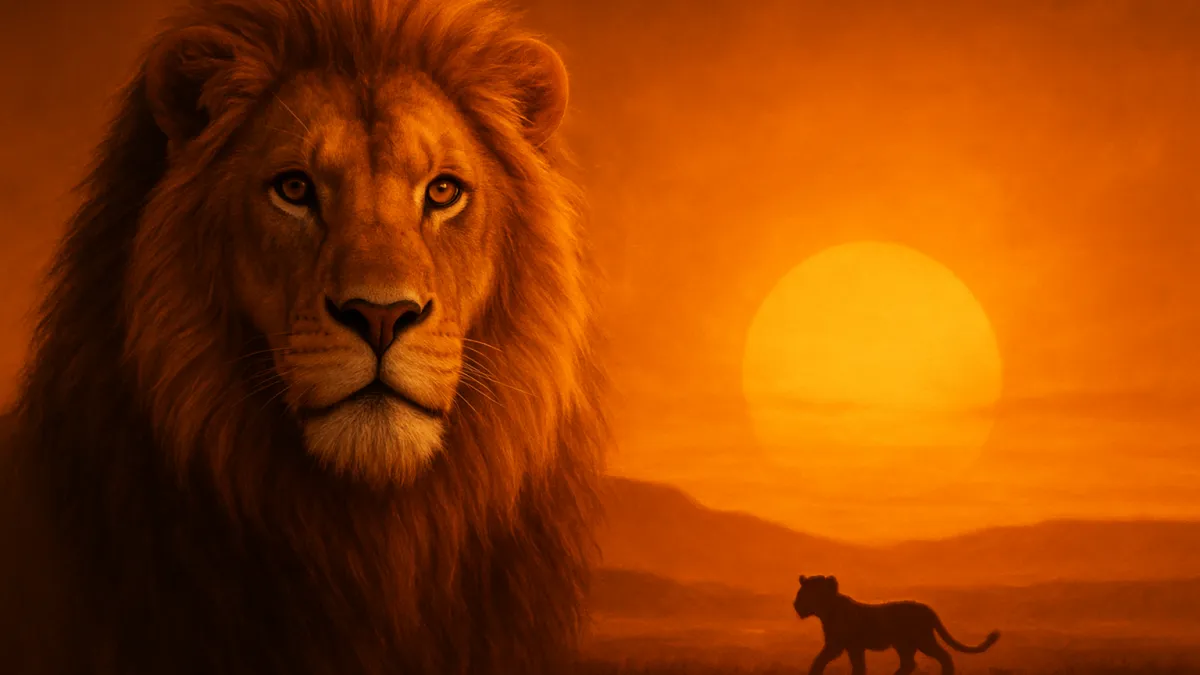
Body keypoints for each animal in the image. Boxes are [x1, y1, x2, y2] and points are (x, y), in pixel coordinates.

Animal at [793, 575, 1000, 675]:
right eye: (801, 592)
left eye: (810, 592)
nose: (796, 605)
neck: (827, 609)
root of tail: (927, 608)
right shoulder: (853, 646)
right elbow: (858, 665)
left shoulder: (836, 644)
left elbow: (820, 659)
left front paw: (813, 672)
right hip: (904, 644)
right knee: (909, 663)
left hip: (922, 639)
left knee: (943, 656)